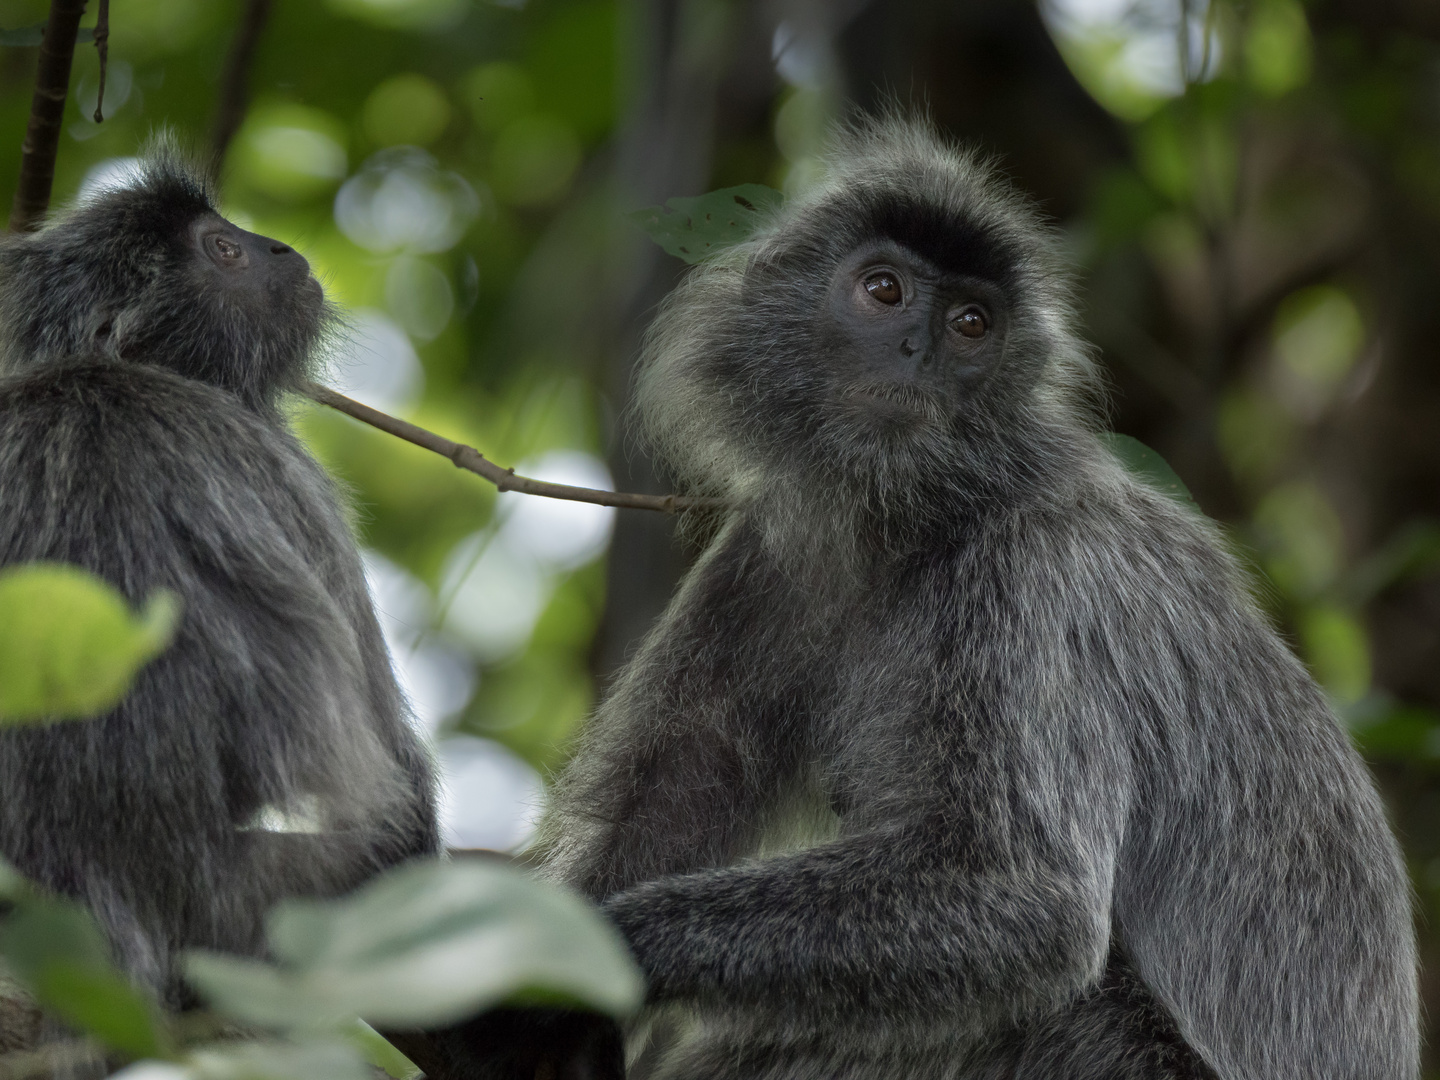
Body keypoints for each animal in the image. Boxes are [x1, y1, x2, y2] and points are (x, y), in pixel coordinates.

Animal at [521, 122, 1416, 1077]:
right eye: (884, 290)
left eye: (970, 325)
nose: (920, 353)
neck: (907, 527)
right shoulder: (766, 560)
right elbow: (655, 816)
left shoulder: (1037, 578)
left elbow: (1026, 901)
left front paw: (601, 948)